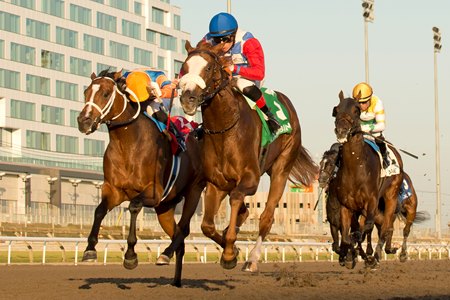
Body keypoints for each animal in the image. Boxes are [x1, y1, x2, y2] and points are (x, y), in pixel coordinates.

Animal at [77, 69, 204, 286]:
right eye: (86, 92)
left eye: (105, 94)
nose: (83, 120)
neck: (128, 143)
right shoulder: (114, 190)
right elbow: (99, 210)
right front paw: (90, 250)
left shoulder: (153, 192)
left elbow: (134, 206)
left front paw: (130, 256)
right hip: (164, 208)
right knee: (178, 238)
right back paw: (175, 279)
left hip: (194, 192)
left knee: (183, 230)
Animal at [176, 41, 316, 274]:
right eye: (184, 68)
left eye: (209, 68)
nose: (188, 98)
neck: (225, 130)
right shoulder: (216, 183)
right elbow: (207, 225)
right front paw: (229, 248)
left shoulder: (250, 178)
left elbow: (235, 201)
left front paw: (230, 252)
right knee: (242, 212)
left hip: (282, 167)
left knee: (266, 217)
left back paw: (252, 259)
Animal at [330, 90, 404, 268]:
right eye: (336, 109)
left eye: (356, 110)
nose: (341, 130)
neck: (356, 168)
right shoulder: (346, 205)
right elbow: (346, 234)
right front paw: (347, 256)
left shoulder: (371, 202)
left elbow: (364, 230)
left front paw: (361, 254)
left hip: (390, 196)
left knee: (385, 227)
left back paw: (375, 257)